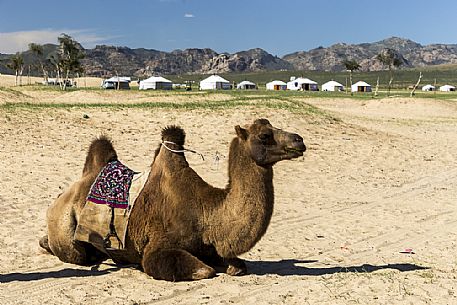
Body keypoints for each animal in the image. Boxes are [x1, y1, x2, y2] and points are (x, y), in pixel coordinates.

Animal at [39, 117, 304, 280]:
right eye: (265, 135)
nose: (299, 140)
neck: (205, 214)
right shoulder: (159, 247)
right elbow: (203, 271)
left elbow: (237, 266)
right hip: (65, 229)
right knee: (75, 253)